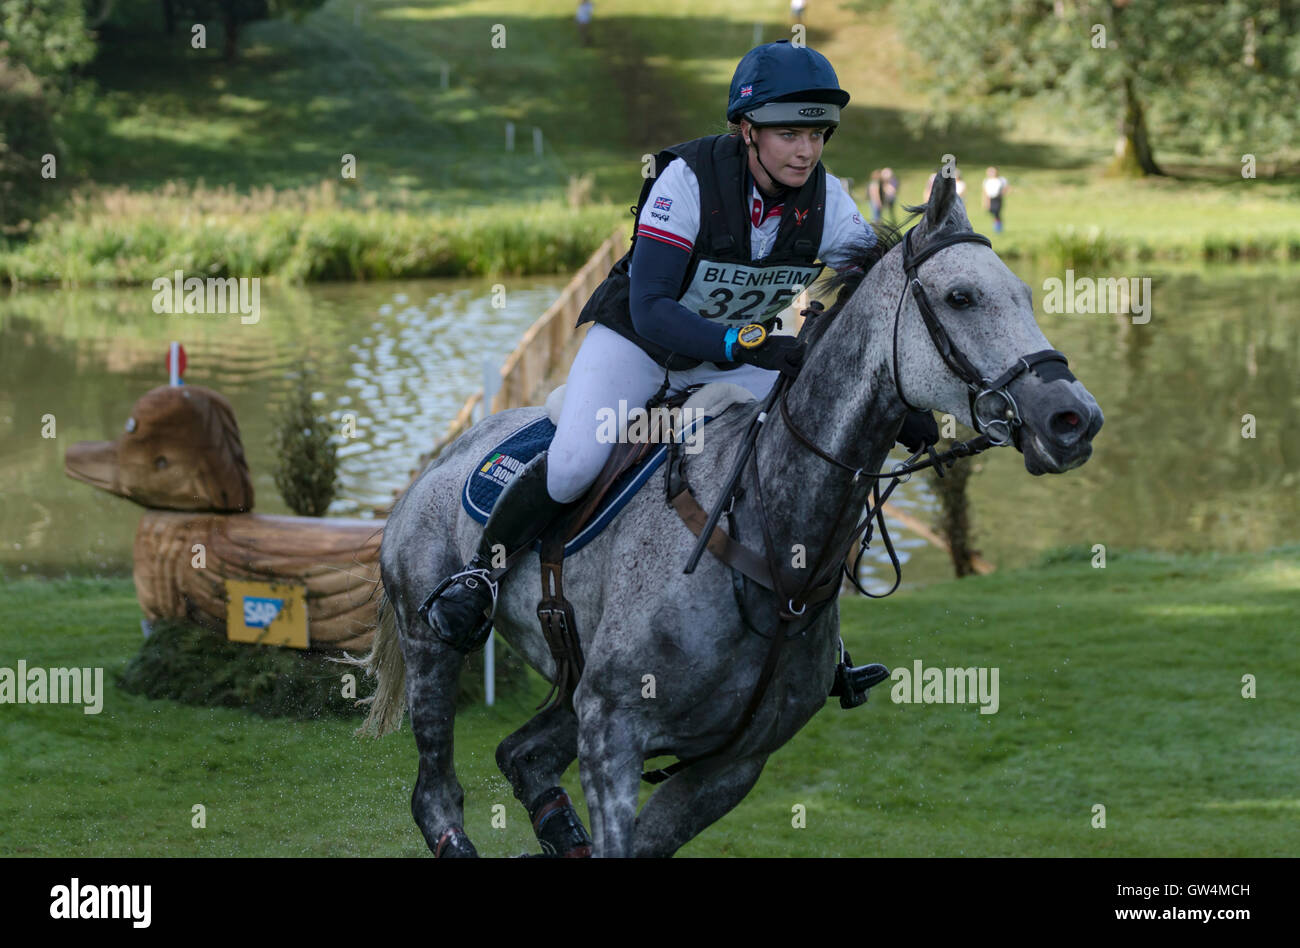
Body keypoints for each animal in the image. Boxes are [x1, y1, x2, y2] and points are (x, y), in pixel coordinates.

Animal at [358, 171, 1107, 858]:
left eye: (1027, 296)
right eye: (961, 297)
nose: (1075, 420)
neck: (772, 544)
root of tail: (446, 455)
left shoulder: (729, 767)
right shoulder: (612, 731)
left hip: (572, 685)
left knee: (523, 756)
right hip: (435, 646)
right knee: (436, 792)